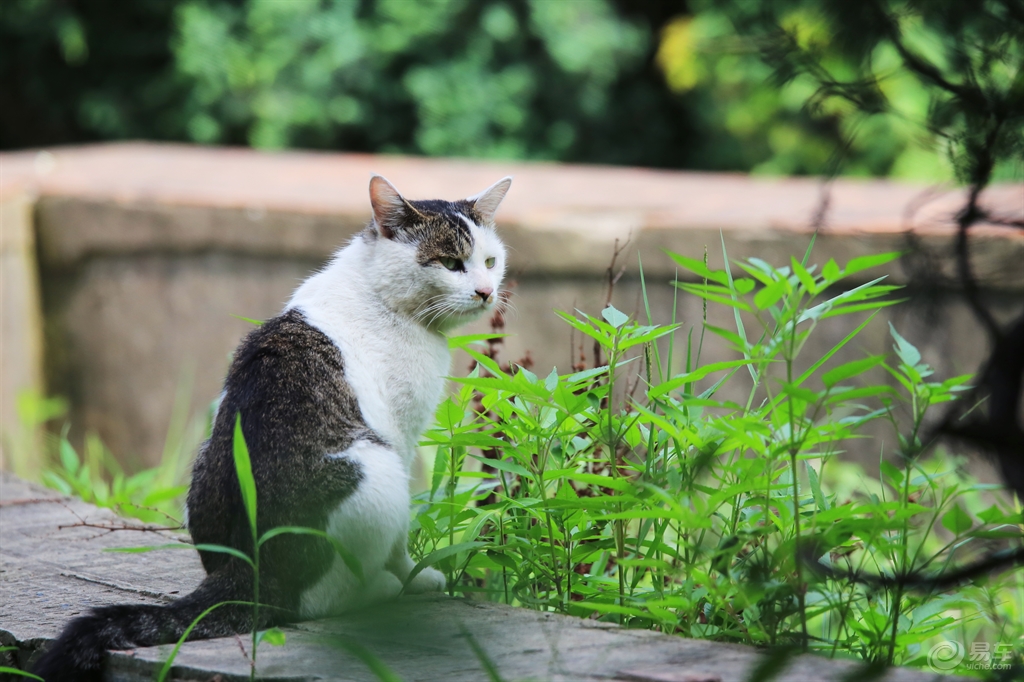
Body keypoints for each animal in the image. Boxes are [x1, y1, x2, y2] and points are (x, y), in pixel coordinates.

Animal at [32, 174, 512, 679]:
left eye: (490, 261)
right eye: (451, 263)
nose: (486, 291)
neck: (379, 294)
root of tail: (249, 570)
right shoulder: (400, 434)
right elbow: (402, 544)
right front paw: (416, 576)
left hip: (206, 458)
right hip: (376, 469)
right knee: (318, 601)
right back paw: (384, 589)